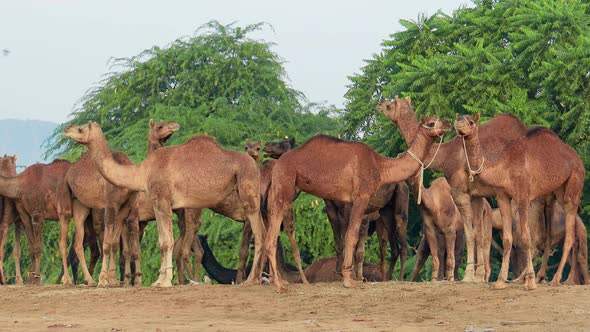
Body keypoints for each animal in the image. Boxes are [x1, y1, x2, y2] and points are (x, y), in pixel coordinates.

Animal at [65, 123, 266, 286]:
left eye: (80, 129)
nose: (66, 129)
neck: (142, 171)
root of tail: (255, 165)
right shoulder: (156, 203)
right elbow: (163, 242)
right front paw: (159, 280)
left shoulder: (162, 200)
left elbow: (167, 242)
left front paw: (165, 281)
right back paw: (258, 278)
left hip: (248, 189)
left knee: (259, 234)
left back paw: (250, 280)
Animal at [264, 110, 454, 290]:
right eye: (431, 122)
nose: (447, 123)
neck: (380, 166)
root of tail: (279, 163)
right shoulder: (360, 197)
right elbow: (351, 235)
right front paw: (349, 280)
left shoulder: (348, 204)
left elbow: (347, 237)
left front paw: (348, 276)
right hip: (285, 182)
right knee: (272, 233)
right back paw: (279, 285)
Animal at [454, 113, 588, 288]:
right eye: (458, 118)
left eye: (471, 122)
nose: (458, 123)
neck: (503, 166)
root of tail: (578, 159)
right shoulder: (503, 196)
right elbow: (507, 239)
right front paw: (500, 281)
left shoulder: (523, 195)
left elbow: (526, 238)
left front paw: (529, 281)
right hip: (555, 192)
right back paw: (544, 277)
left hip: (574, 182)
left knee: (570, 232)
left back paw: (557, 279)